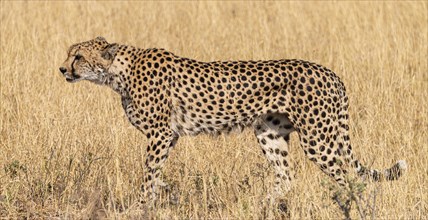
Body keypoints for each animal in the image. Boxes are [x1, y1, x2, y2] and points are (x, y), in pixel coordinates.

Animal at [58, 36, 406, 203]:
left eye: (78, 57)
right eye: (69, 54)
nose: (62, 69)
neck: (118, 71)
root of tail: (330, 72)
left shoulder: (159, 134)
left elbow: (148, 175)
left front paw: (143, 205)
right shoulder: (169, 136)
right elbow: (156, 175)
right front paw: (158, 199)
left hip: (318, 138)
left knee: (350, 178)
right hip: (269, 132)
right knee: (286, 177)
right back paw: (262, 206)